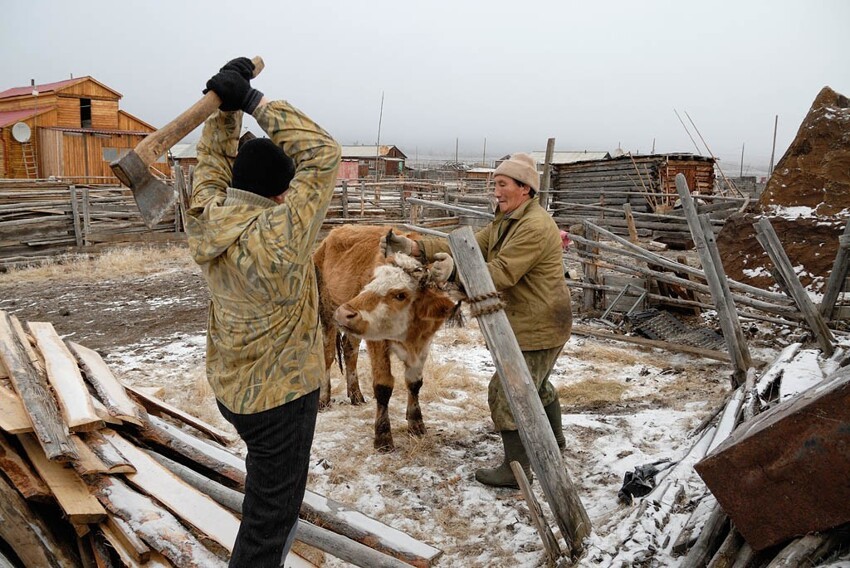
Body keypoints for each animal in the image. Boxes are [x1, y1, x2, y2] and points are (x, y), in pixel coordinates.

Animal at [310, 224, 458, 450]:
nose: (344, 313)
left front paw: (416, 424)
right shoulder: (377, 342)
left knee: (350, 350)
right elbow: (383, 386)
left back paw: (356, 394)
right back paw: (324, 399)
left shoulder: (424, 343)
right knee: (327, 356)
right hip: (326, 312)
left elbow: (415, 383)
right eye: (370, 282)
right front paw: (383, 436)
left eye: (400, 294)